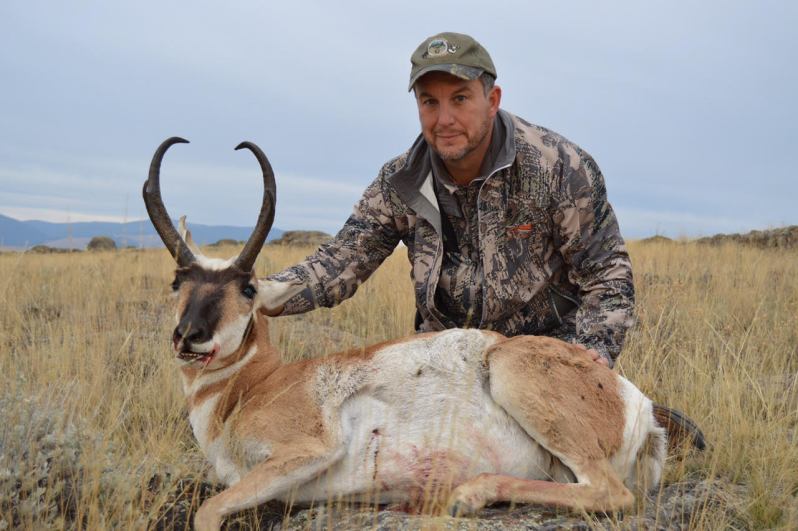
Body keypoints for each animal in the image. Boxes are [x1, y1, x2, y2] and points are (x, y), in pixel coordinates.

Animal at [144, 137, 705, 531]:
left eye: (248, 287)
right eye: (176, 281)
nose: (190, 336)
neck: (255, 386)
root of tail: (634, 403)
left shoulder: (305, 451)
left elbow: (208, 512)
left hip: (514, 375)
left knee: (609, 492)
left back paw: (468, 495)